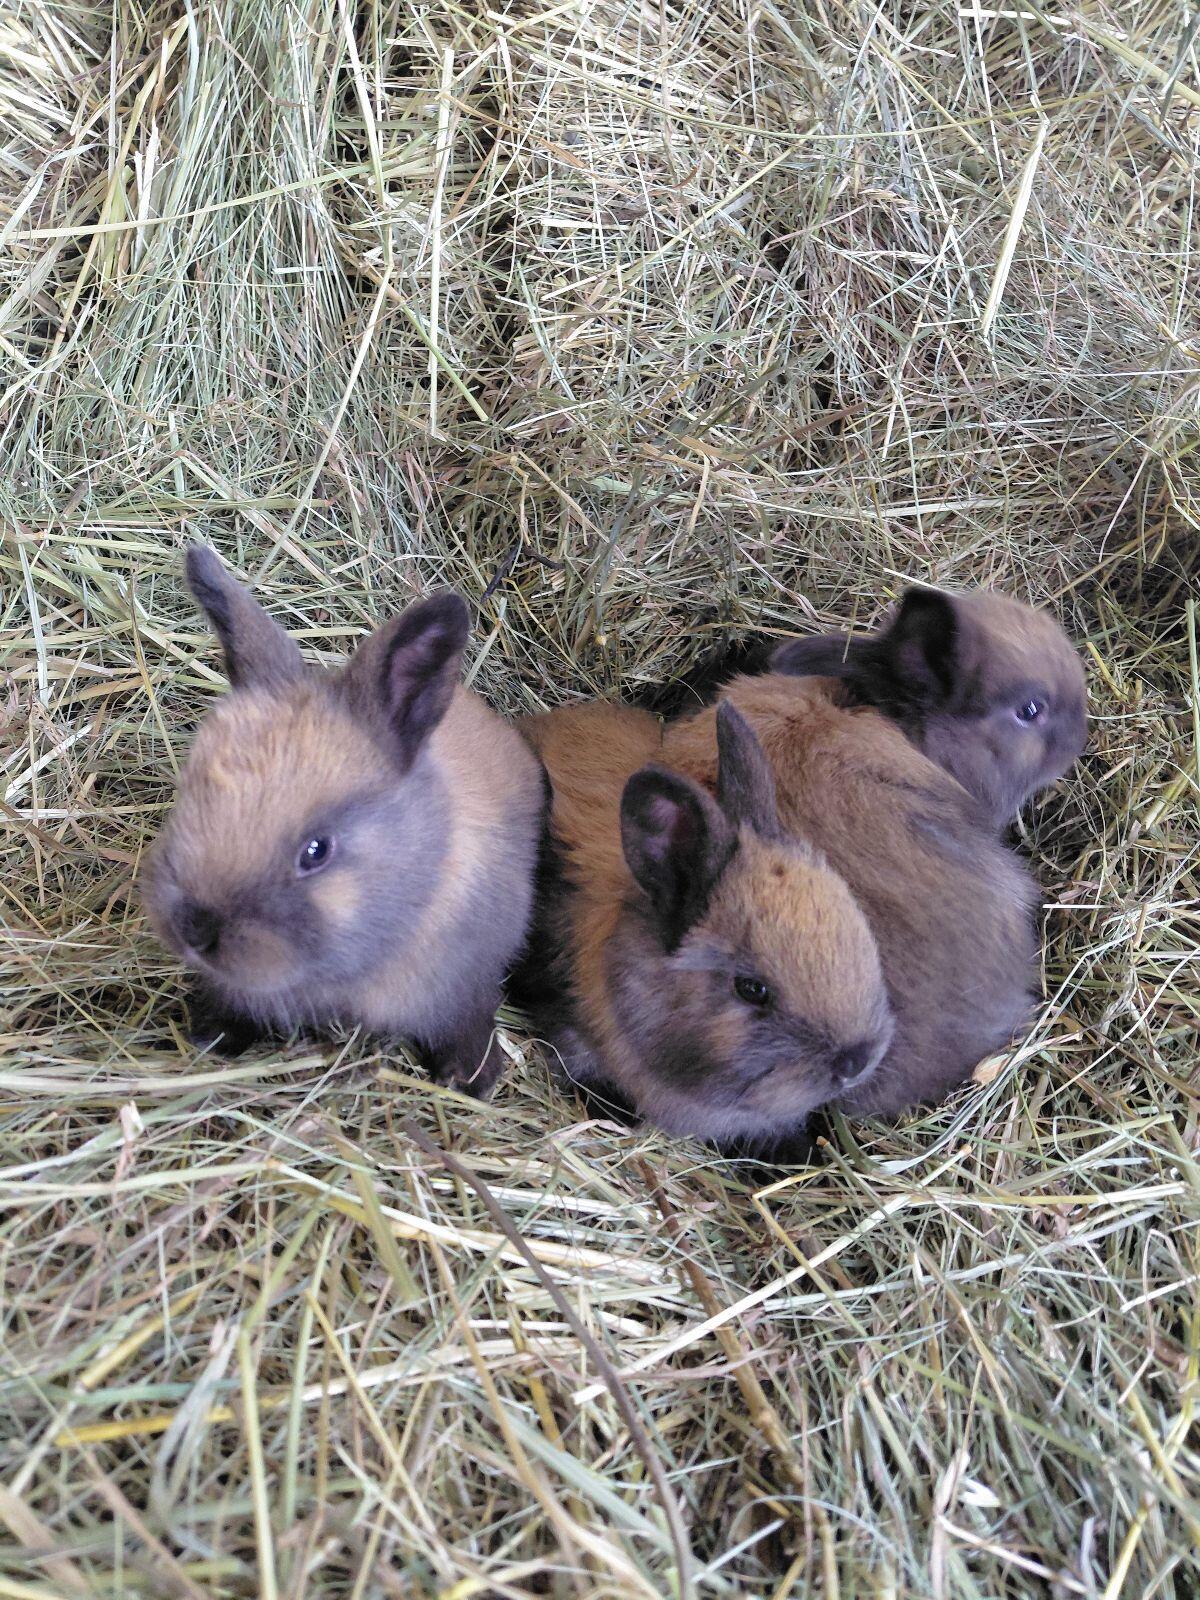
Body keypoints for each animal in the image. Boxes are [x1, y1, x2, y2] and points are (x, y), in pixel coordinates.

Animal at [143, 545, 545, 1096]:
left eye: (317, 850)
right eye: (192, 793)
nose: (193, 928)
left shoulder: (465, 981)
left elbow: (467, 1018)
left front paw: (472, 1079)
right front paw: (212, 1034)